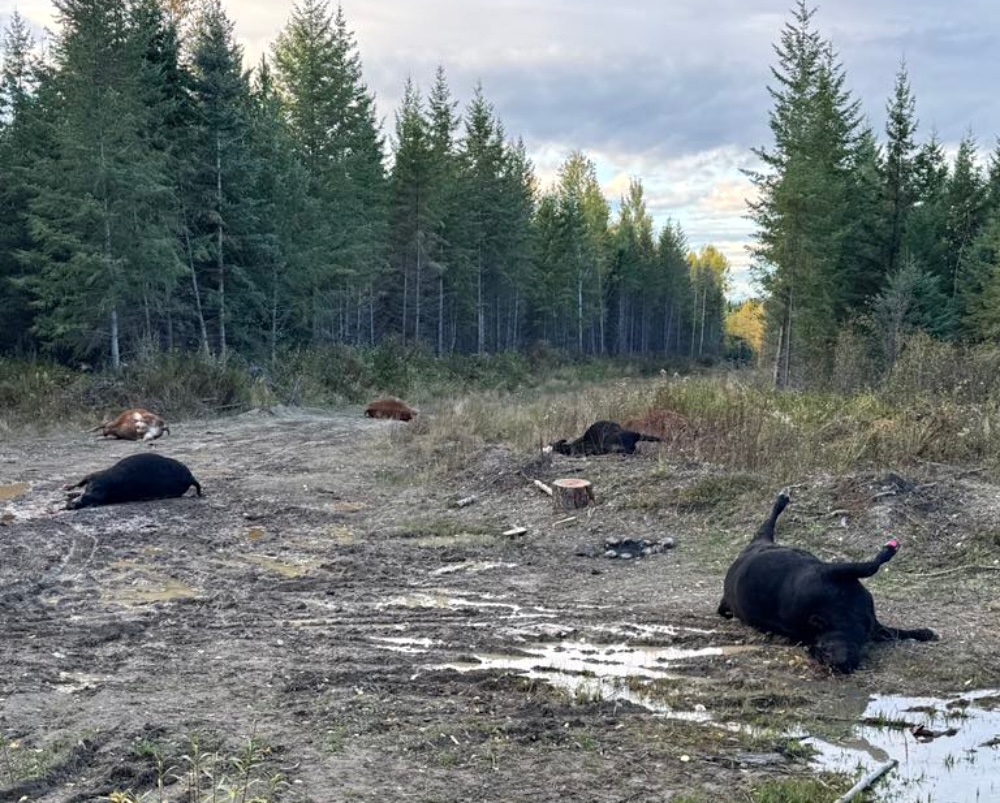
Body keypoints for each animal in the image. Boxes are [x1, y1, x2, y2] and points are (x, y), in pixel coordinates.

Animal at [717, 492, 938, 673]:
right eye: (819, 652)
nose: (838, 665)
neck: (839, 616)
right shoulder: (832, 573)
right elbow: (871, 567)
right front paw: (888, 551)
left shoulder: (837, 579)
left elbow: (897, 632)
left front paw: (922, 633)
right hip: (761, 539)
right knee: (767, 523)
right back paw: (781, 500)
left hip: (763, 540)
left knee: (768, 522)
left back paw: (781, 501)